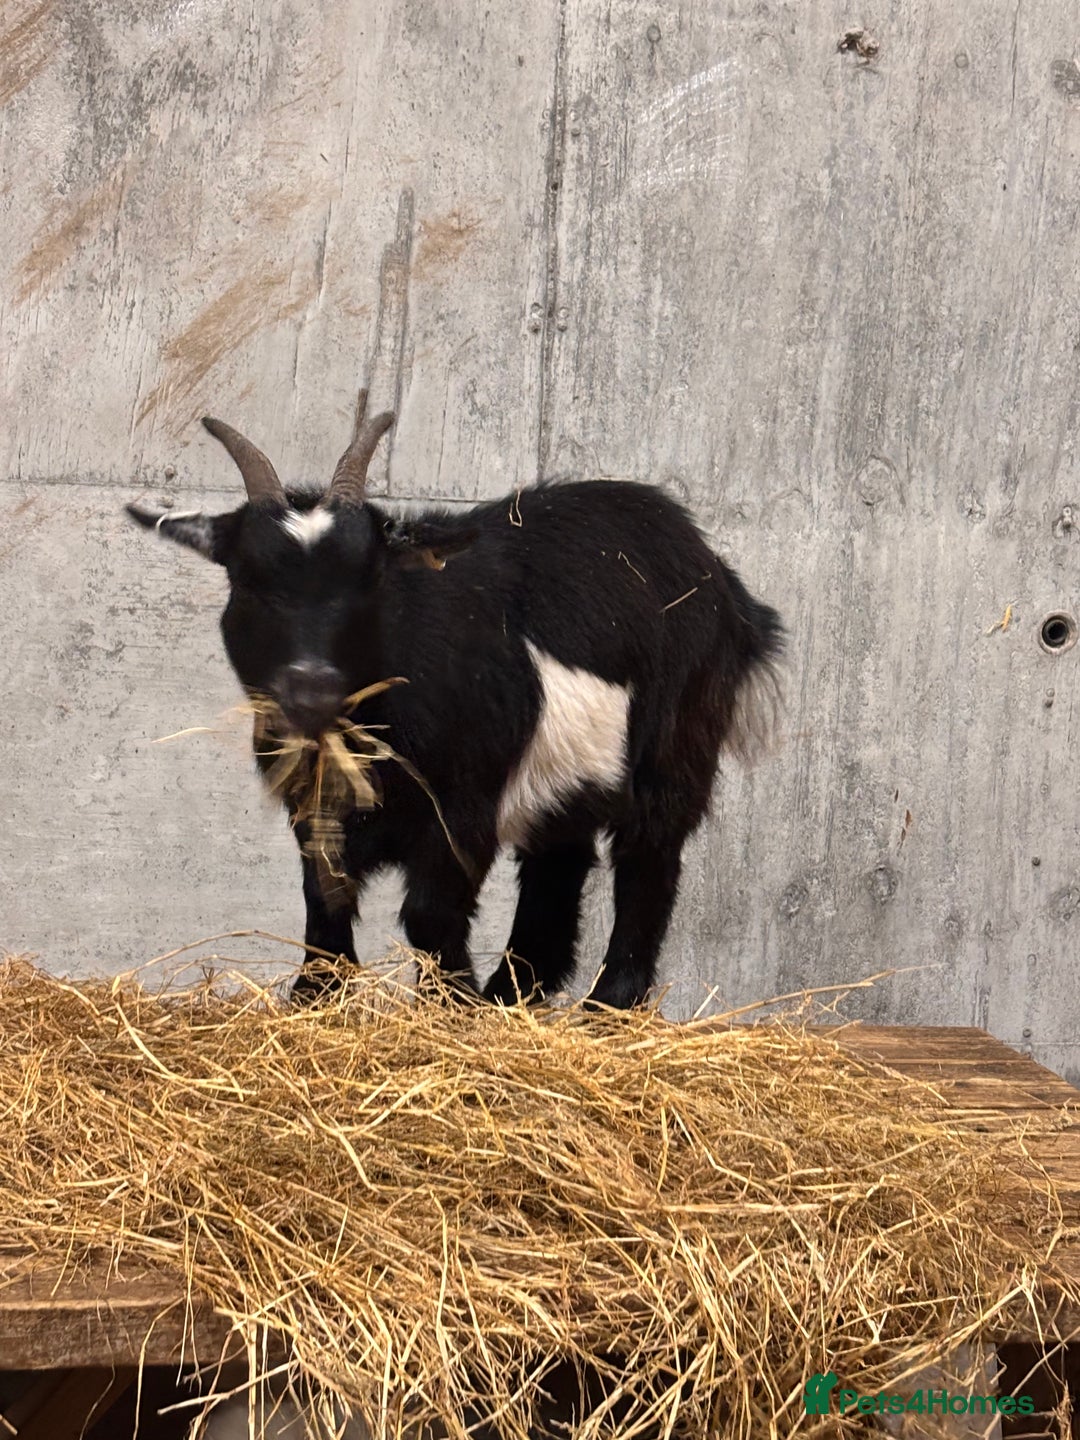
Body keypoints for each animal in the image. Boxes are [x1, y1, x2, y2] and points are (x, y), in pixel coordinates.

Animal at [127, 395, 782, 1007]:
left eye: (372, 579)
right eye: (247, 580)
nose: (312, 687)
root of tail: (722, 581)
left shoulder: (462, 809)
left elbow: (429, 911)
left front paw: (450, 1006)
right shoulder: (313, 807)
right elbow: (324, 896)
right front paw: (318, 995)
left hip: (678, 740)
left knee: (650, 854)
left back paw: (609, 1004)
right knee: (559, 860)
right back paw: (515, 995)